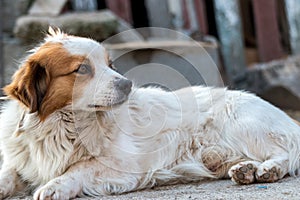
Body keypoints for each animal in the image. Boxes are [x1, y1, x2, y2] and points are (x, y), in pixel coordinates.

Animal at [0, 27, 300, 200]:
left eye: (110, 64)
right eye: (82, 69)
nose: (127, 84)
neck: (62, 125)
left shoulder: (122, 165)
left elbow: (79, 167)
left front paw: (57, 185)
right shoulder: (21, 159)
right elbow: (8, 172)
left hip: (242, 124)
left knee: (284, 154)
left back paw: (267, 170)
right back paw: (245, 170)